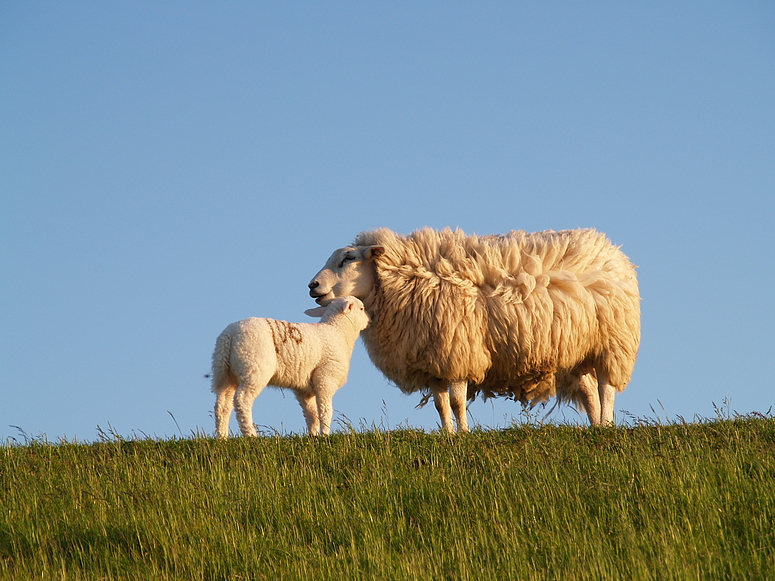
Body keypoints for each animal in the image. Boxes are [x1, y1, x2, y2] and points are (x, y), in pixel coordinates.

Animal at [211, 294, 372, 436]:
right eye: (361, 308)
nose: (370, 321)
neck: (338, 331)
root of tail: (229, 334)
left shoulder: (304, 389)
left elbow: (312, 415)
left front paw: (313, 436)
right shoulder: (325, 379)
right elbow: (325, 410)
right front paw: (325, 434)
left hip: (225, 372)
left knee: (222, 405)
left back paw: (222, 436)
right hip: (254, 367)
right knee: (242, 400)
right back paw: (251, 434)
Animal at [310, 227, 644, 430]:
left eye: (348, 258)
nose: (312, 286)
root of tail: (611, 249)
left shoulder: (458, 353)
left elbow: (457, 402)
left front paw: (463, 433)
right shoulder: (434, 362)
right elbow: (440, 405)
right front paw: (448, 435)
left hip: (613, 344)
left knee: (606, 389)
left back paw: (607, 426)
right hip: (577, 353)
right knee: (589, 392)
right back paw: (595, 427)